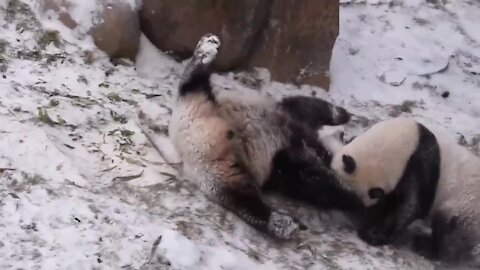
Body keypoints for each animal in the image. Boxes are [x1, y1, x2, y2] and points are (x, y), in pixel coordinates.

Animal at [169, 34, 360, 240]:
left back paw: (207, 51)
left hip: (201, 115)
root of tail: (191, 132)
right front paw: (342, 115)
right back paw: (282, 224)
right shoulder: (288, 136)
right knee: (241, 199)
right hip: (210, 166)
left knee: (193, 84)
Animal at [326, 117, 480, 266]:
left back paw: (430, 247)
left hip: (464, 208)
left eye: (373, 193)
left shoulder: (420, 166)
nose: (369, 214)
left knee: (448, 233)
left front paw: (374, 234)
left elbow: (410, 207)